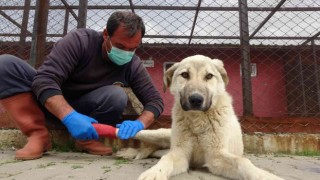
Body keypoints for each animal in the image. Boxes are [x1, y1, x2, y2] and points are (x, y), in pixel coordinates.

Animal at [116, 55, 284, 180]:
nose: (196, 99)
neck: (197, 120)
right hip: (159, 135)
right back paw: (123, 139)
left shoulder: (216, 158)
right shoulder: (180, 154)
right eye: (185, 75)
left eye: (209, 76)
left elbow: (244, 161)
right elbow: (166, 160)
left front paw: (264, 176)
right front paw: (154, 173)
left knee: (153, 150)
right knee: (143, 140)